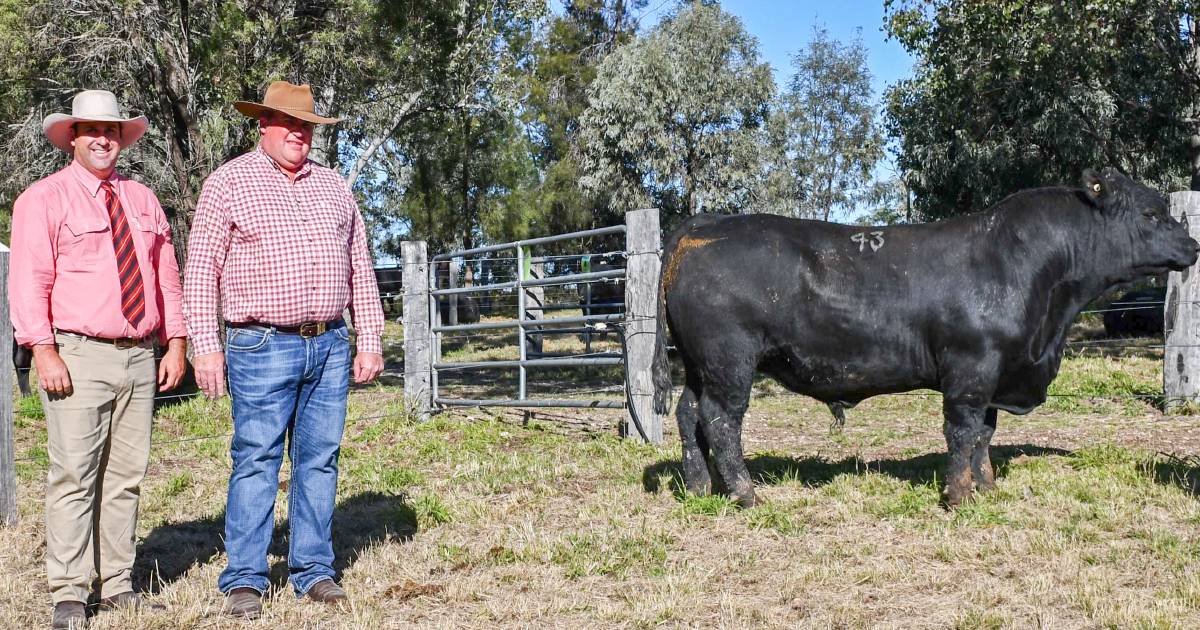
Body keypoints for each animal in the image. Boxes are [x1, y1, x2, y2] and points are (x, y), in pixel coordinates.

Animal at [652, 169, 1200, 508]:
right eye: (1151, 214)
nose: (1193, 245)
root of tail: (704, 224)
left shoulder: (994, 374)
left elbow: (984, 435)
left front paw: (985, 488)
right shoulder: (971, 369)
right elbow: (962, 431)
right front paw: (957, 496)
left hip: (700, 365)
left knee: (687, 416)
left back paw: (699, 488)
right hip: (730, 362)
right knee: (720, 421)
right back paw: (746, 494)